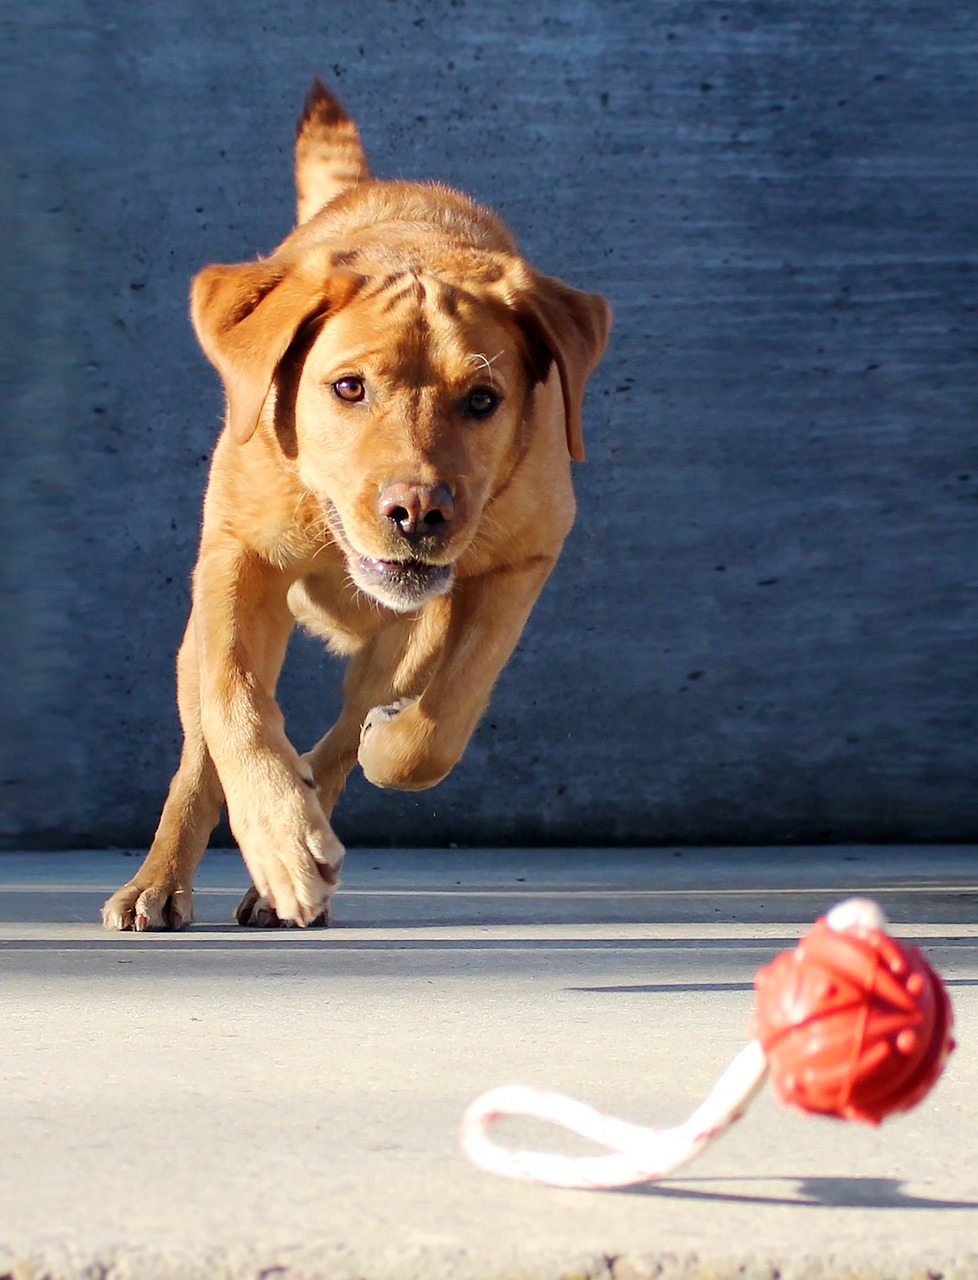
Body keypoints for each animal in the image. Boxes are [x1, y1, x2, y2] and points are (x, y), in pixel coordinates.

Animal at [103, 80, 606, 936]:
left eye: (483, 400)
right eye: (347, 387)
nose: (420, 513)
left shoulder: (523, 559)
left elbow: (441, 721)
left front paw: (374, 756)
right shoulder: (238, 557)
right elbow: (235, 705)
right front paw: (280, 838)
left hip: (406, 635)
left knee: (350, 726)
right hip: (195, 641)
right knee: (199, 755)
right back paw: (162, 880)